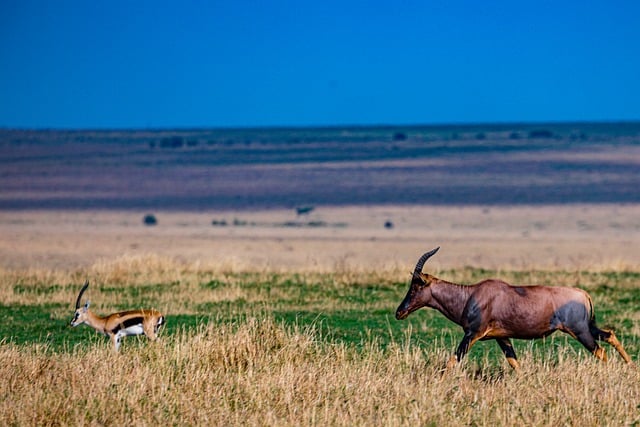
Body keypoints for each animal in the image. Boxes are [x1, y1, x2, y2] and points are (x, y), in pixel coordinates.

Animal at [398, 247, 632, 372]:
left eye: (416, 285)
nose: (399, 312)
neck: (472, 295)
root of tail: (584, 294)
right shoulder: (502, 337)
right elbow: (515, 364)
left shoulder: (472, 334)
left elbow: (452, 361)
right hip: (587, 327)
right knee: (610, 335)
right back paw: (630, 366)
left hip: (580, 331)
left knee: (600, 351)